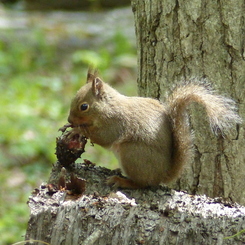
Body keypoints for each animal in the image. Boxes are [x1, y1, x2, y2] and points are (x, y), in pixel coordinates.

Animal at [67, 69, 241, 189]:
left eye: (84, 106)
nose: (69, 120)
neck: (108, 107)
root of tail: (161, 175)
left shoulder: (115, 123)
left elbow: (105, 137)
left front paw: (78, 130)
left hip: (131, 153)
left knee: (142, 184)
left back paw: (122, 181)